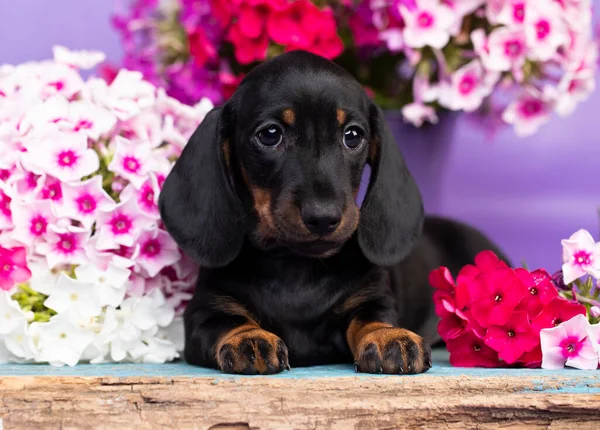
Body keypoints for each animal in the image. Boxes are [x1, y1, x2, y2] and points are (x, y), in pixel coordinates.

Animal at [159, 49, 506, 372]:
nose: (323, 217)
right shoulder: (205, 312)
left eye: (352, 135)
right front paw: (248, 338)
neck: (296, 267)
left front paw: (387, 336)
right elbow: (226, 321)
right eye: (270, 134)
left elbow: (370, 317)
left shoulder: (374, 297)